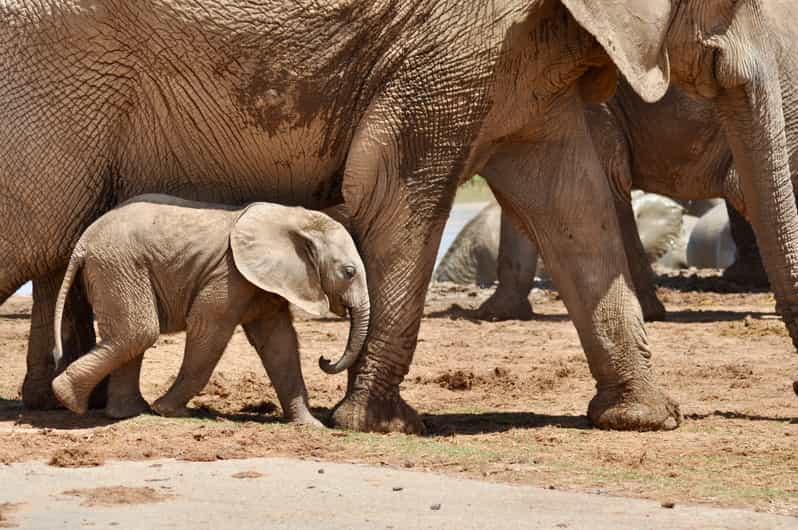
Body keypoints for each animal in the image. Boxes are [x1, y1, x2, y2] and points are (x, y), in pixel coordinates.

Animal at [51, 192, 370, 422]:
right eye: (349, 272)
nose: (325, 359)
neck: (296, 218)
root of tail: (83, 241)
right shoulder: (229, 274)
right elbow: (209, 332)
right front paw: (166, 410)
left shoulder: (262, 282)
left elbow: (280, 343)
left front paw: (309, 426)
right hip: (118, 265)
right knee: (138, 333)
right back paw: (68, 398)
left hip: (117, 267)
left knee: (132, 336)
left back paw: (125, 412)